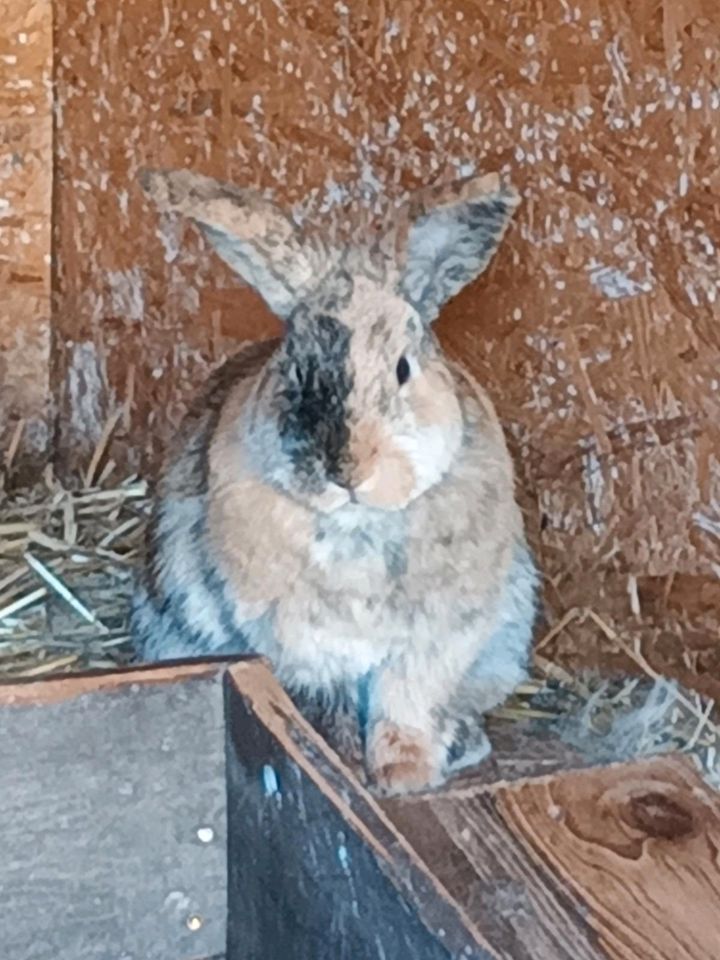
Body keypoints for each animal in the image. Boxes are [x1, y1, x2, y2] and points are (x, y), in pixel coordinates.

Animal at [132, 165, 540, 796]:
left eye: (403, 368)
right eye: (296, 369)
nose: (348, 470)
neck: (359, 522)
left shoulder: (435, 643)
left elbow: (406, 705)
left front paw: (405, 776)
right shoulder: (306, 647)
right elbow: (333, 704)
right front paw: (343, 765)